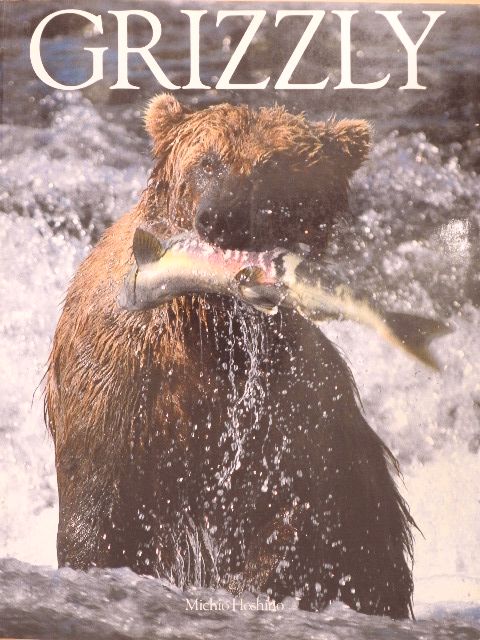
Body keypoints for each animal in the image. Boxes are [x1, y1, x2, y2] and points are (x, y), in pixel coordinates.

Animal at [45, 94, 414, 618]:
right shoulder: (118, 378)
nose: (222, 218)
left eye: (274, 167)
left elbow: (301, 519)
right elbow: (98, 506)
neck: (213, 318)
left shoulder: (293, 406)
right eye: (207, 161)